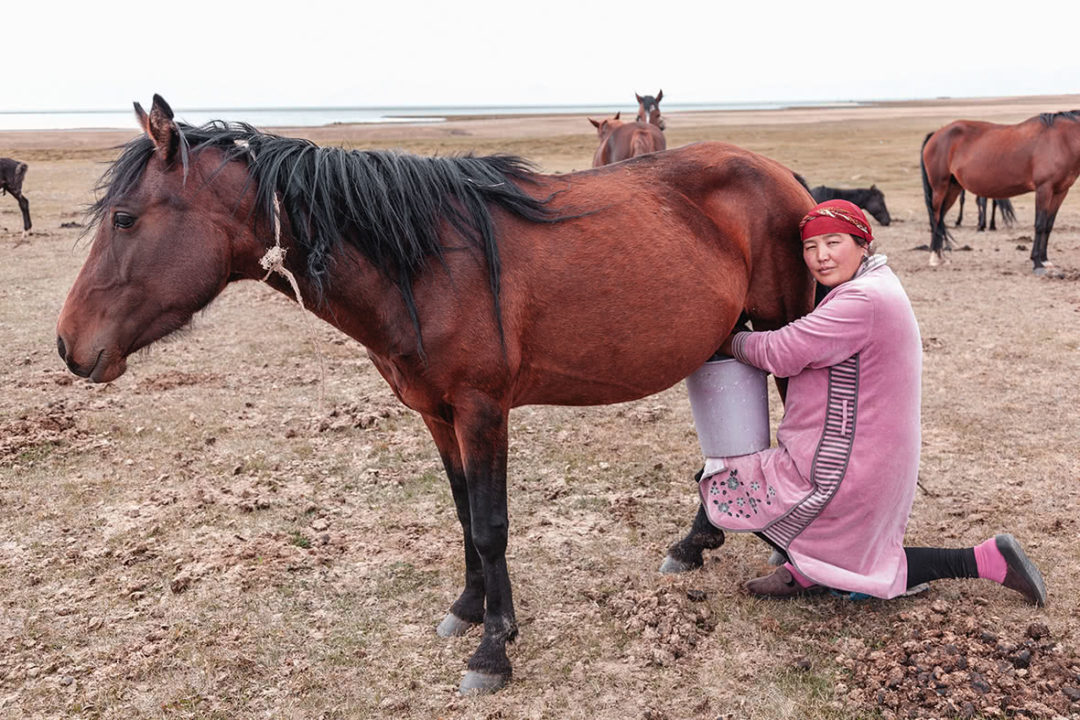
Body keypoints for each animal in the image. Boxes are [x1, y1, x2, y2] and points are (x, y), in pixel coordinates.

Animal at [52, 97, 812, 699]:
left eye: (124, 219)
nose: (68, 345)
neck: (422, 266)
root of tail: (782, 176)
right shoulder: (436, 414)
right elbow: (463, 514)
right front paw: (472, 608)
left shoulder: (482, 409)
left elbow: (491, 523)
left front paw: (494, 650)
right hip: (724, 340)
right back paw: (696, 542)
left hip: (786, 330)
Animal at [920, 110, 1080, 273]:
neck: (1063, 140)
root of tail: (936, 134)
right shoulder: (1044, 189)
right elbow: (1040, 224)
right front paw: (1037, 263)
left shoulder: (1060, 191)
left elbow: (1048, 225)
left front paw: (1045, 260)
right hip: (940, 187)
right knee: (936, 218)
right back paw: (934, 258)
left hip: (953, 188)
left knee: (941, 218)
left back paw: (940, 257)